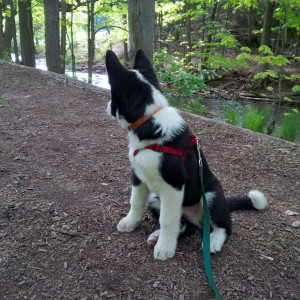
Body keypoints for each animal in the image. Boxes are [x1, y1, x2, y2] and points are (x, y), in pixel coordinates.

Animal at [105, 48, 268, 260]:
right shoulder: (138, 175)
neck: (150, 119)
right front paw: (130, 222)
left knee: (224, 226)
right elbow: (136, 201)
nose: (107, 106)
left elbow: (167, 219)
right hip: (156, 199)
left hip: (212, 195)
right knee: (184, 225)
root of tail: (196, 218)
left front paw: (165, 248)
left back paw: (212, 240)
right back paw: (158, 236)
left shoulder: (173, 185)